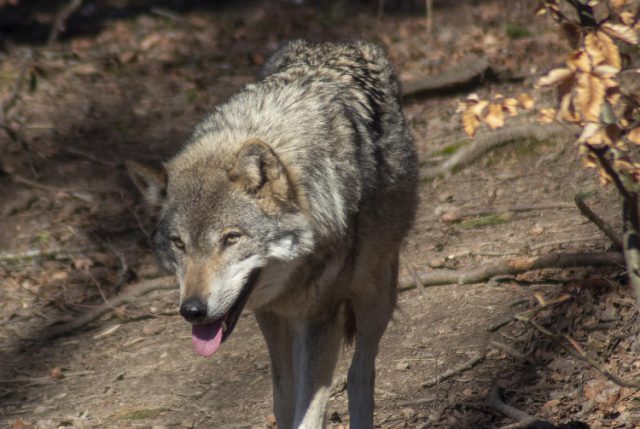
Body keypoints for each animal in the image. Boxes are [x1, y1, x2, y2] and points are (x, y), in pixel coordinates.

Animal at [128, 39, 420, 424]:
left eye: (231, 238)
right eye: (179, 243)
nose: (192, 310)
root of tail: (335, 43)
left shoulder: (320, 317)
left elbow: (310, 413)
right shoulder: (270, 313)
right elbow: (283, 401)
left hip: (375, 294)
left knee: (360, 374)